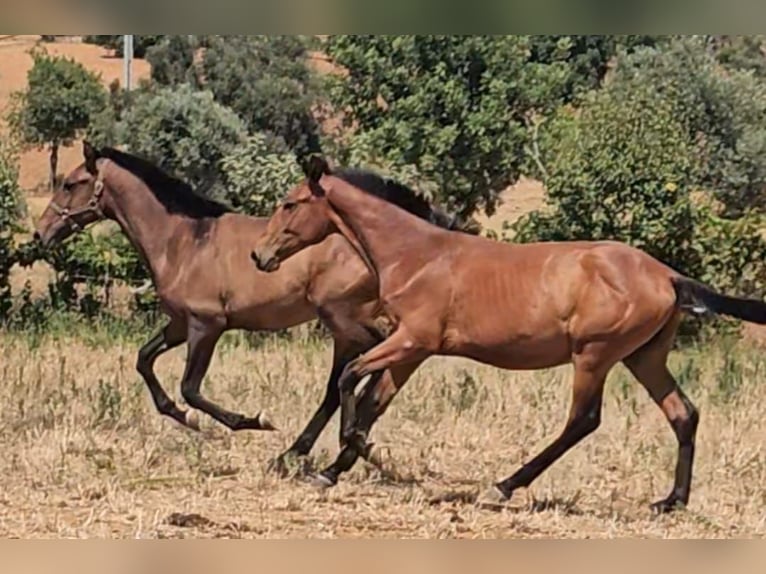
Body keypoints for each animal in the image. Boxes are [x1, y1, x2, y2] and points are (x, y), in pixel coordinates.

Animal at [34, 142, 474, 470]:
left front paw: (248, 421)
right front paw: (181, 416)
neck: (184, 240)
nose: (40, 234)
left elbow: (190, 388)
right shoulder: (178, 324)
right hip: (348, 328)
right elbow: (144, 361)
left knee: (357, 374)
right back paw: (309, 452)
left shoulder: (206, 325)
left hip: (345, 319)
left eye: (71, 183)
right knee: (347, 383)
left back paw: (329, 445)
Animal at [254, 156, 766, 512]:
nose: (260, 256)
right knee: (683, 414)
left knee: (583, 421)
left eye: (290, 203)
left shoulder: (412, 341)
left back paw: (502, 487)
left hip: (595, 355)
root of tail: (669, 277)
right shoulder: (410, 351)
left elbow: (349, 381)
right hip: (644, 357)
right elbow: (373, 401)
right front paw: (332, 468)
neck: (417, 255)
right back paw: (670, 501)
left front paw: (354, 449)